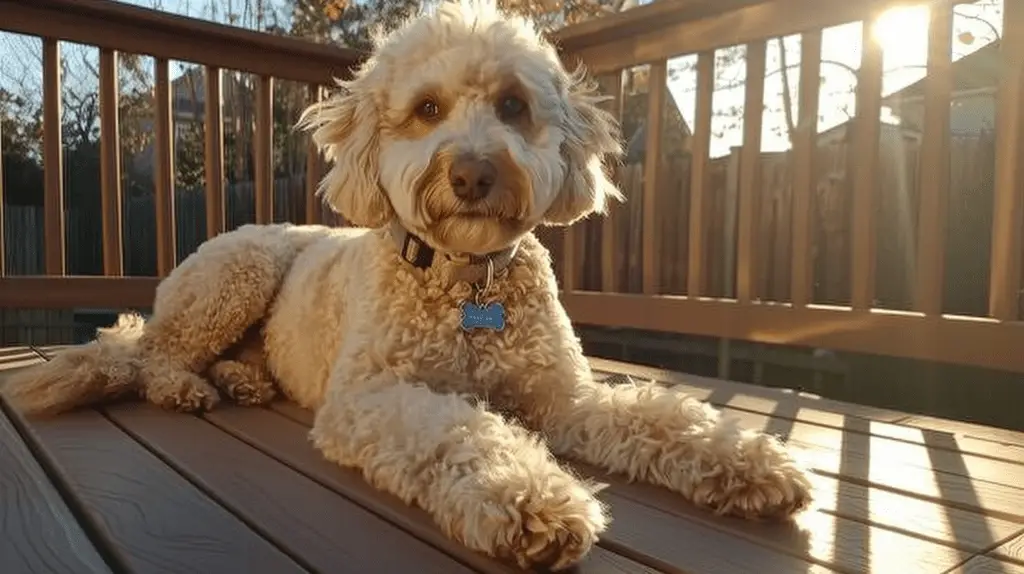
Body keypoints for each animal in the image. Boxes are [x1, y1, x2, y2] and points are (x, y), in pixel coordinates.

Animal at [4, 2, 811, 568]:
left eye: (514, 106)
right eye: (427, 109)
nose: (473, 173)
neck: (467, 282)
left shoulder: (564, 396)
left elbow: (659, 415)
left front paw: (747, 462)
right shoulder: (370, 396)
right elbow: (458, 430)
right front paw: (529, 499)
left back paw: (243, 381)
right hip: (236, 274)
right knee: (152, 355)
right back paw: (185, 387)